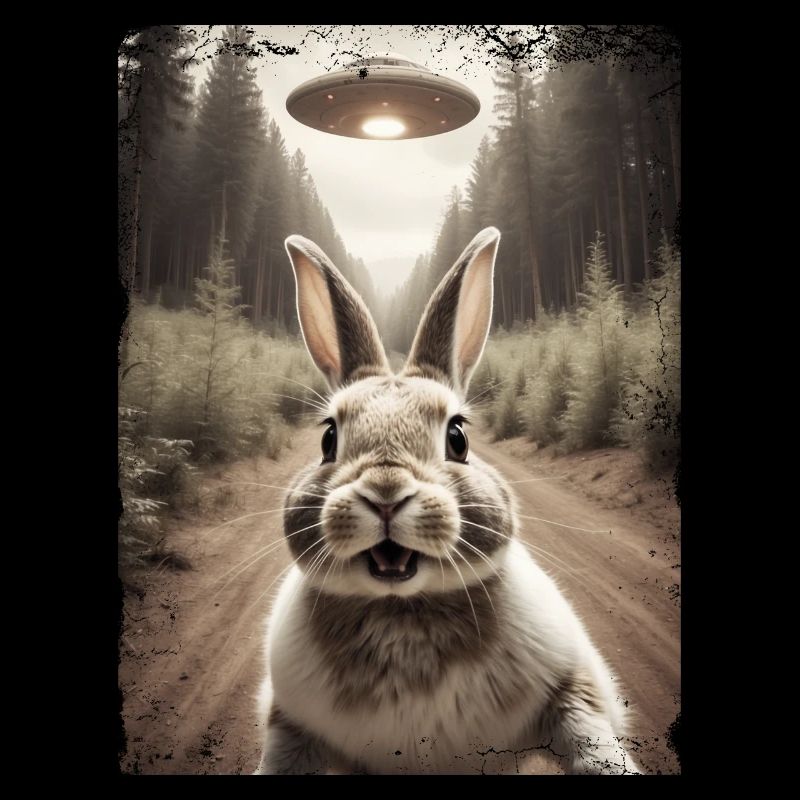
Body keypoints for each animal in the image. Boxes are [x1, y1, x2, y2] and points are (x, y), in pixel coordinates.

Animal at [254, 227, 641, 775]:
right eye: (329, 439)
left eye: (458, 437)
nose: (386, 494)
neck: (402, 612)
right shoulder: (290, 720)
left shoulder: (572, 685)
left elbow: (593, 741)